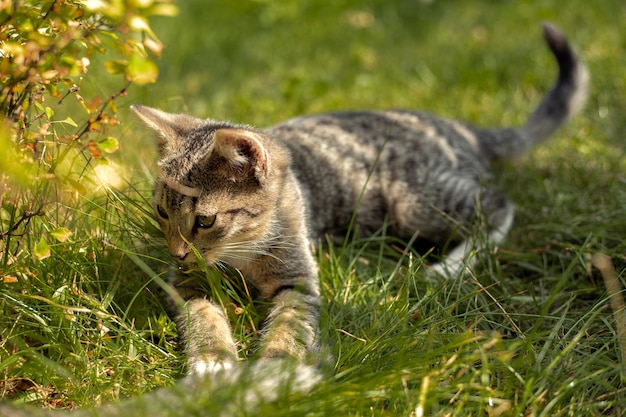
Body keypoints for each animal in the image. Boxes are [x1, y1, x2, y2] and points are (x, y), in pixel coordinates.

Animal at [132, 24, 584, 376]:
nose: (177, 253)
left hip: (414, 200)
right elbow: (201, 313)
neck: (241, 251)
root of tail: (454, 125)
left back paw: (450, 267)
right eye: (162, 213)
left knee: (497, 205)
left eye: (205, 221)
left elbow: (291, 323)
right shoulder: (186, 282)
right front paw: (213, 360)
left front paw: (277, 367)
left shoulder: (298, 277)